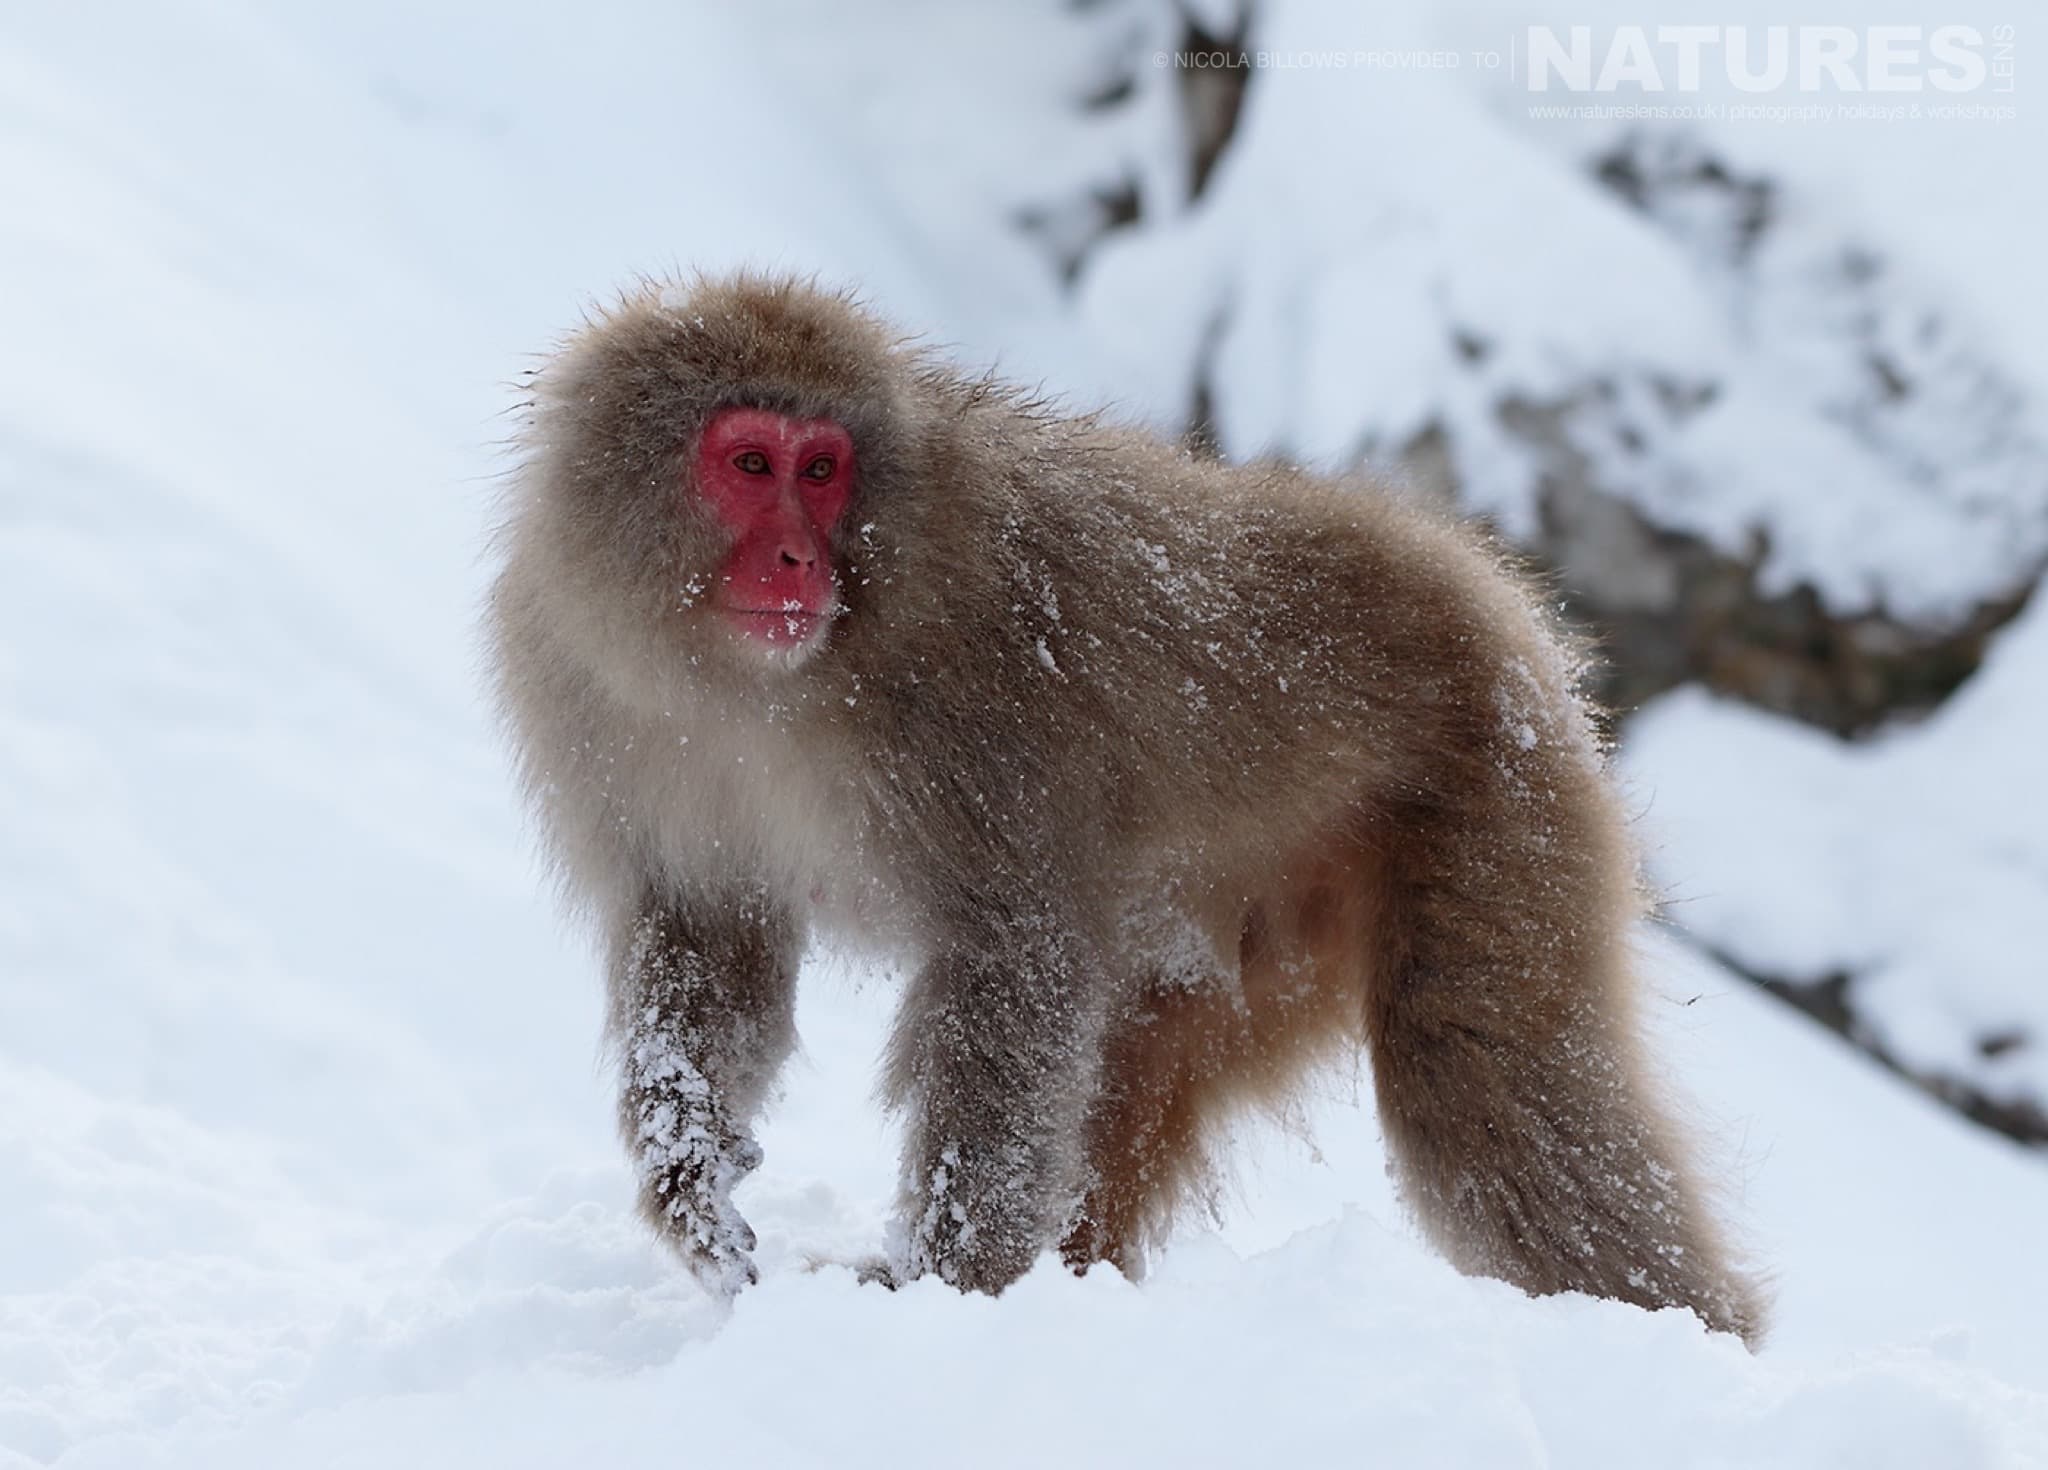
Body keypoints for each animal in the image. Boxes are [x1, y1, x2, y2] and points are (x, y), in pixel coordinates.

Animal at [485, 272, 1768, 1344]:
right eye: (751, 465)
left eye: (821, 470)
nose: (799, 562)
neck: (764, 689)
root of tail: (1488, 591)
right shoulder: (603, 708)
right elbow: (711, 942)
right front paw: (689, 1177)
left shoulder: (980, 716)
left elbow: (1017, 963)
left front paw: (940, 1287)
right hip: (1256, 937)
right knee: (1135, 1071)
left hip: (1496, 812)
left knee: (1476, 1095)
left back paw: (1685, 1344)